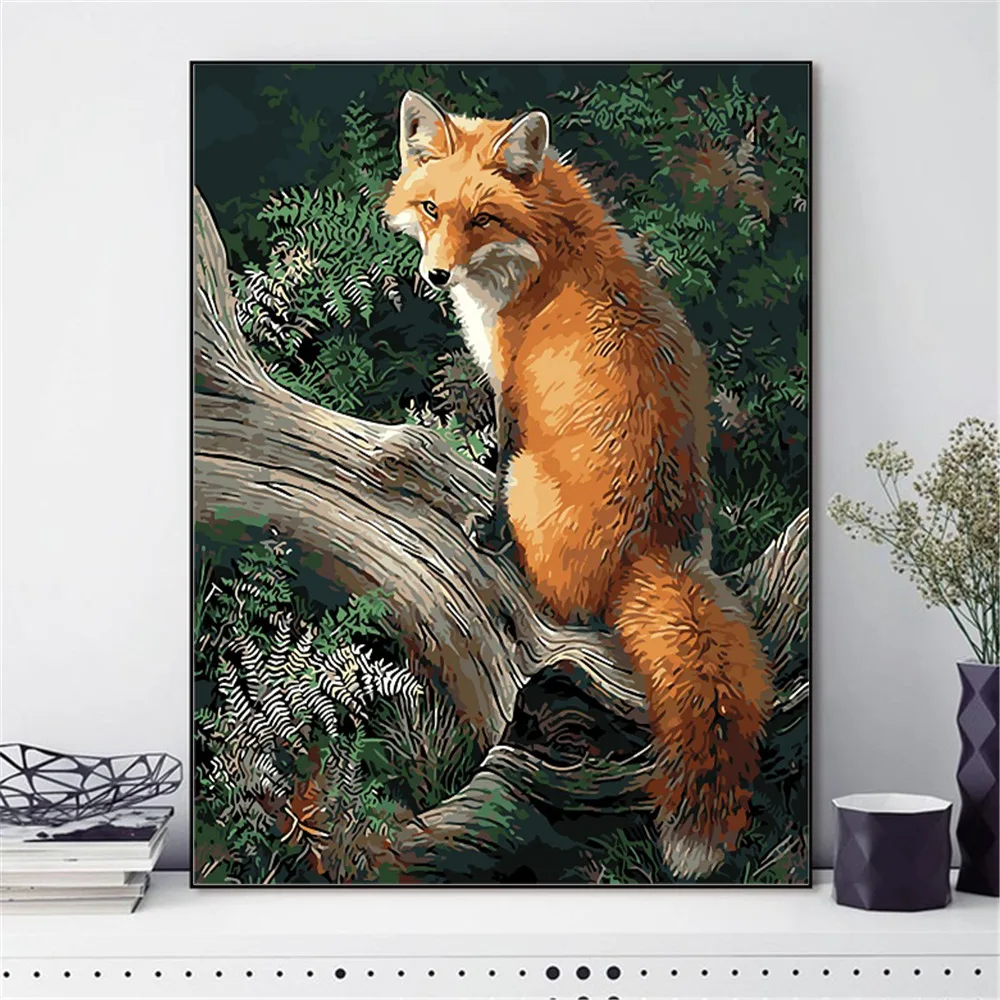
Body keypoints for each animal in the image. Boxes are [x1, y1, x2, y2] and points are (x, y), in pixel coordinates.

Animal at [384, 91, 772, 878]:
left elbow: (496, 458)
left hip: (535, 487)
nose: (436, 277)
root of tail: (653, 550)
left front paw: (485, 530)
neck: (549, 251)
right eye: (433, 209)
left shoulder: (510, 390)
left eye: (483, 218)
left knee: (559, 599)